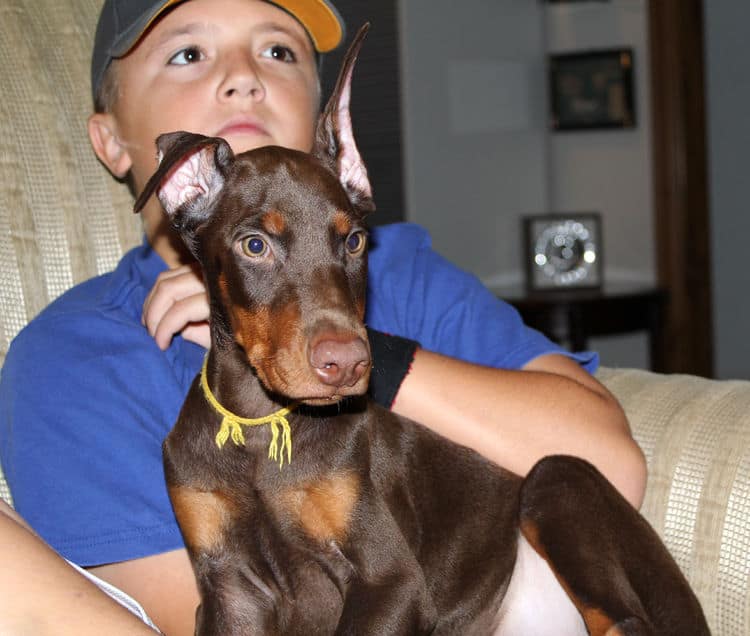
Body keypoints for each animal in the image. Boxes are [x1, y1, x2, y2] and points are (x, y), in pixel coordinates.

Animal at [134, 24, 712, 636]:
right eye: (254, 245)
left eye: (354, 240)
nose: (348, 364)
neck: (262, 427)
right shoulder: (229, 590)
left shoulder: (391, 579)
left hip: (559, 481)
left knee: (624, 618)